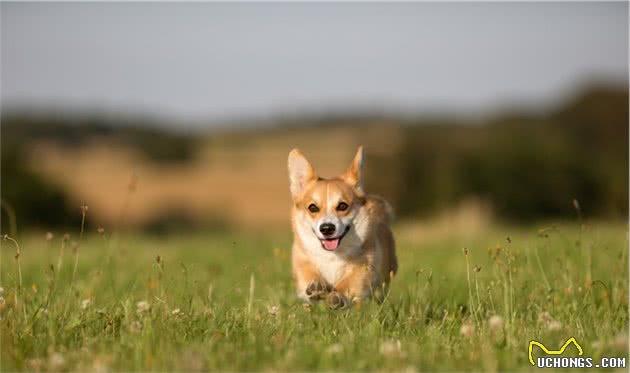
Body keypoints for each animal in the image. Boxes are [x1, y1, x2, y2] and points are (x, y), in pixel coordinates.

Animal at [288, 145, 398, 308]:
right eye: (313, 208)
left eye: (342, 206)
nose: (327, 228)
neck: (332, 255)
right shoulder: (302, 263)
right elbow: (309, 274)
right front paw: (316, 285)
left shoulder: (364, 266)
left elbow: (349, 282)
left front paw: (337, 295)